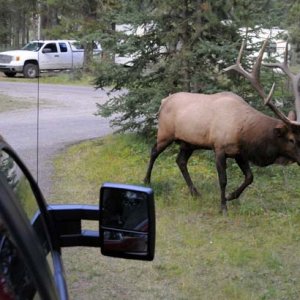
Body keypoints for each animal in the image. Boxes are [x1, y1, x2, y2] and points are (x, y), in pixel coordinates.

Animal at [144, 39, 300, 213]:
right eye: (292, 140)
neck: (245, 133)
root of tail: (163, 101)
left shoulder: (239, 152)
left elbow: (249, 177)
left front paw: (230, 196)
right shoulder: (219, 147)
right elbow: (223, 179)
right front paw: (223, 206)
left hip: (188, 142)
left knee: (180, 161)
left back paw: (195, 192)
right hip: (165, 133)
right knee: (154, 151)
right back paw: (146, 180)